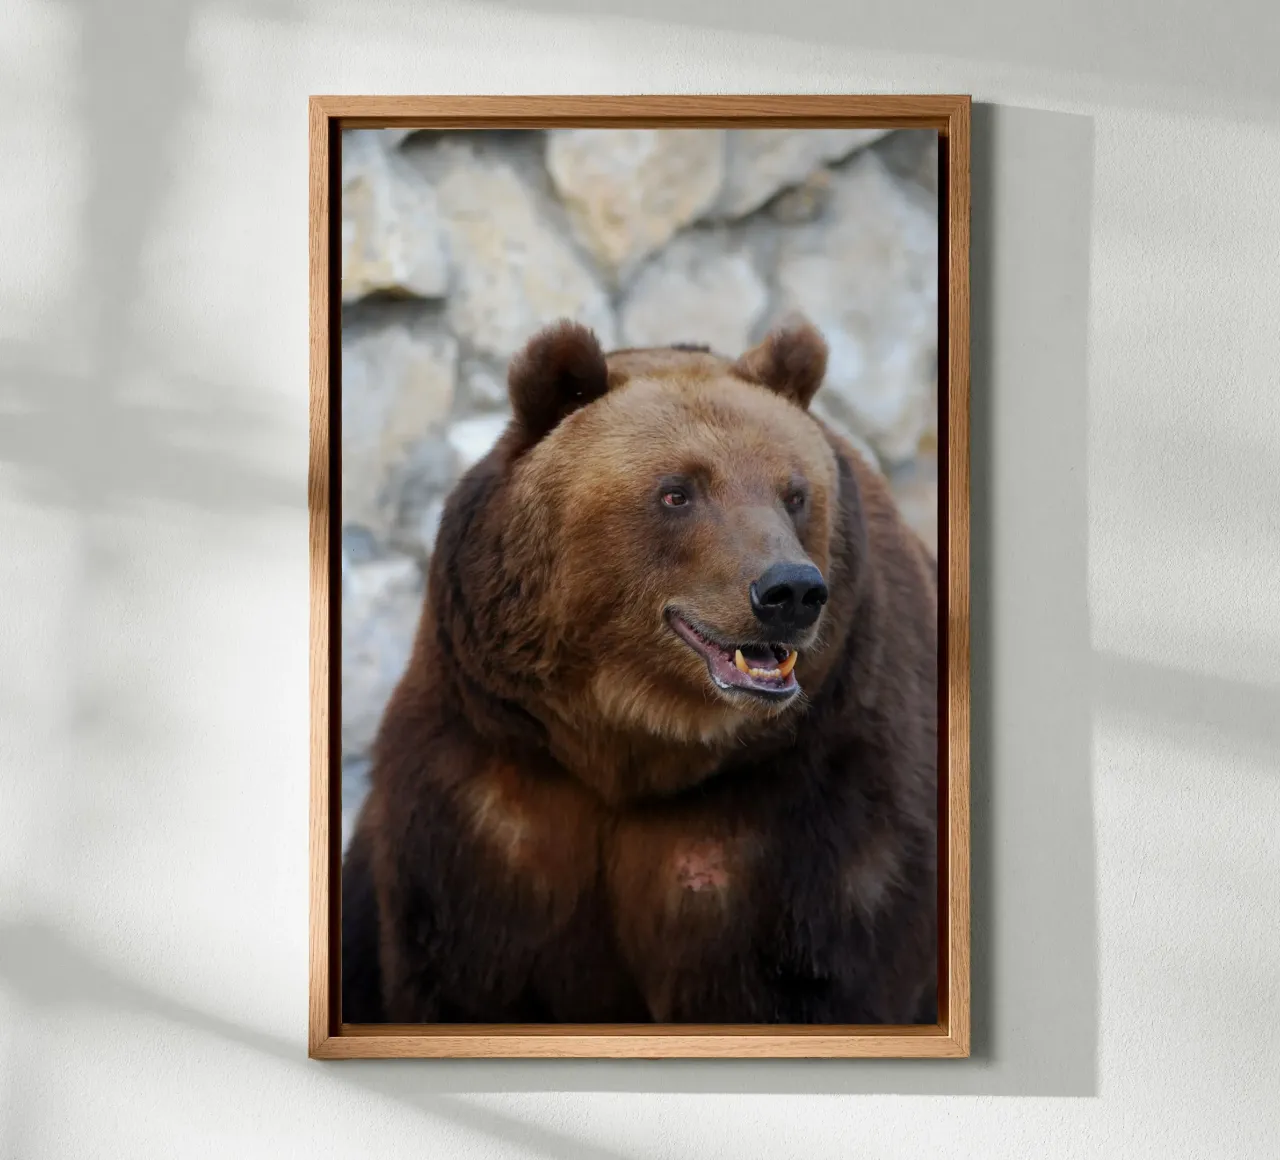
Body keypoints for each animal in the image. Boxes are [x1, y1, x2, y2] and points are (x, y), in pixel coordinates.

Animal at [341, 314, 938, 1025]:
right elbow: (465, 975)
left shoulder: (809, 807)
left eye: (794, 493)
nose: (790, 590)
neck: (631, 742)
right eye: (677, 491)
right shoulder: (491, 792)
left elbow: (812, 976)